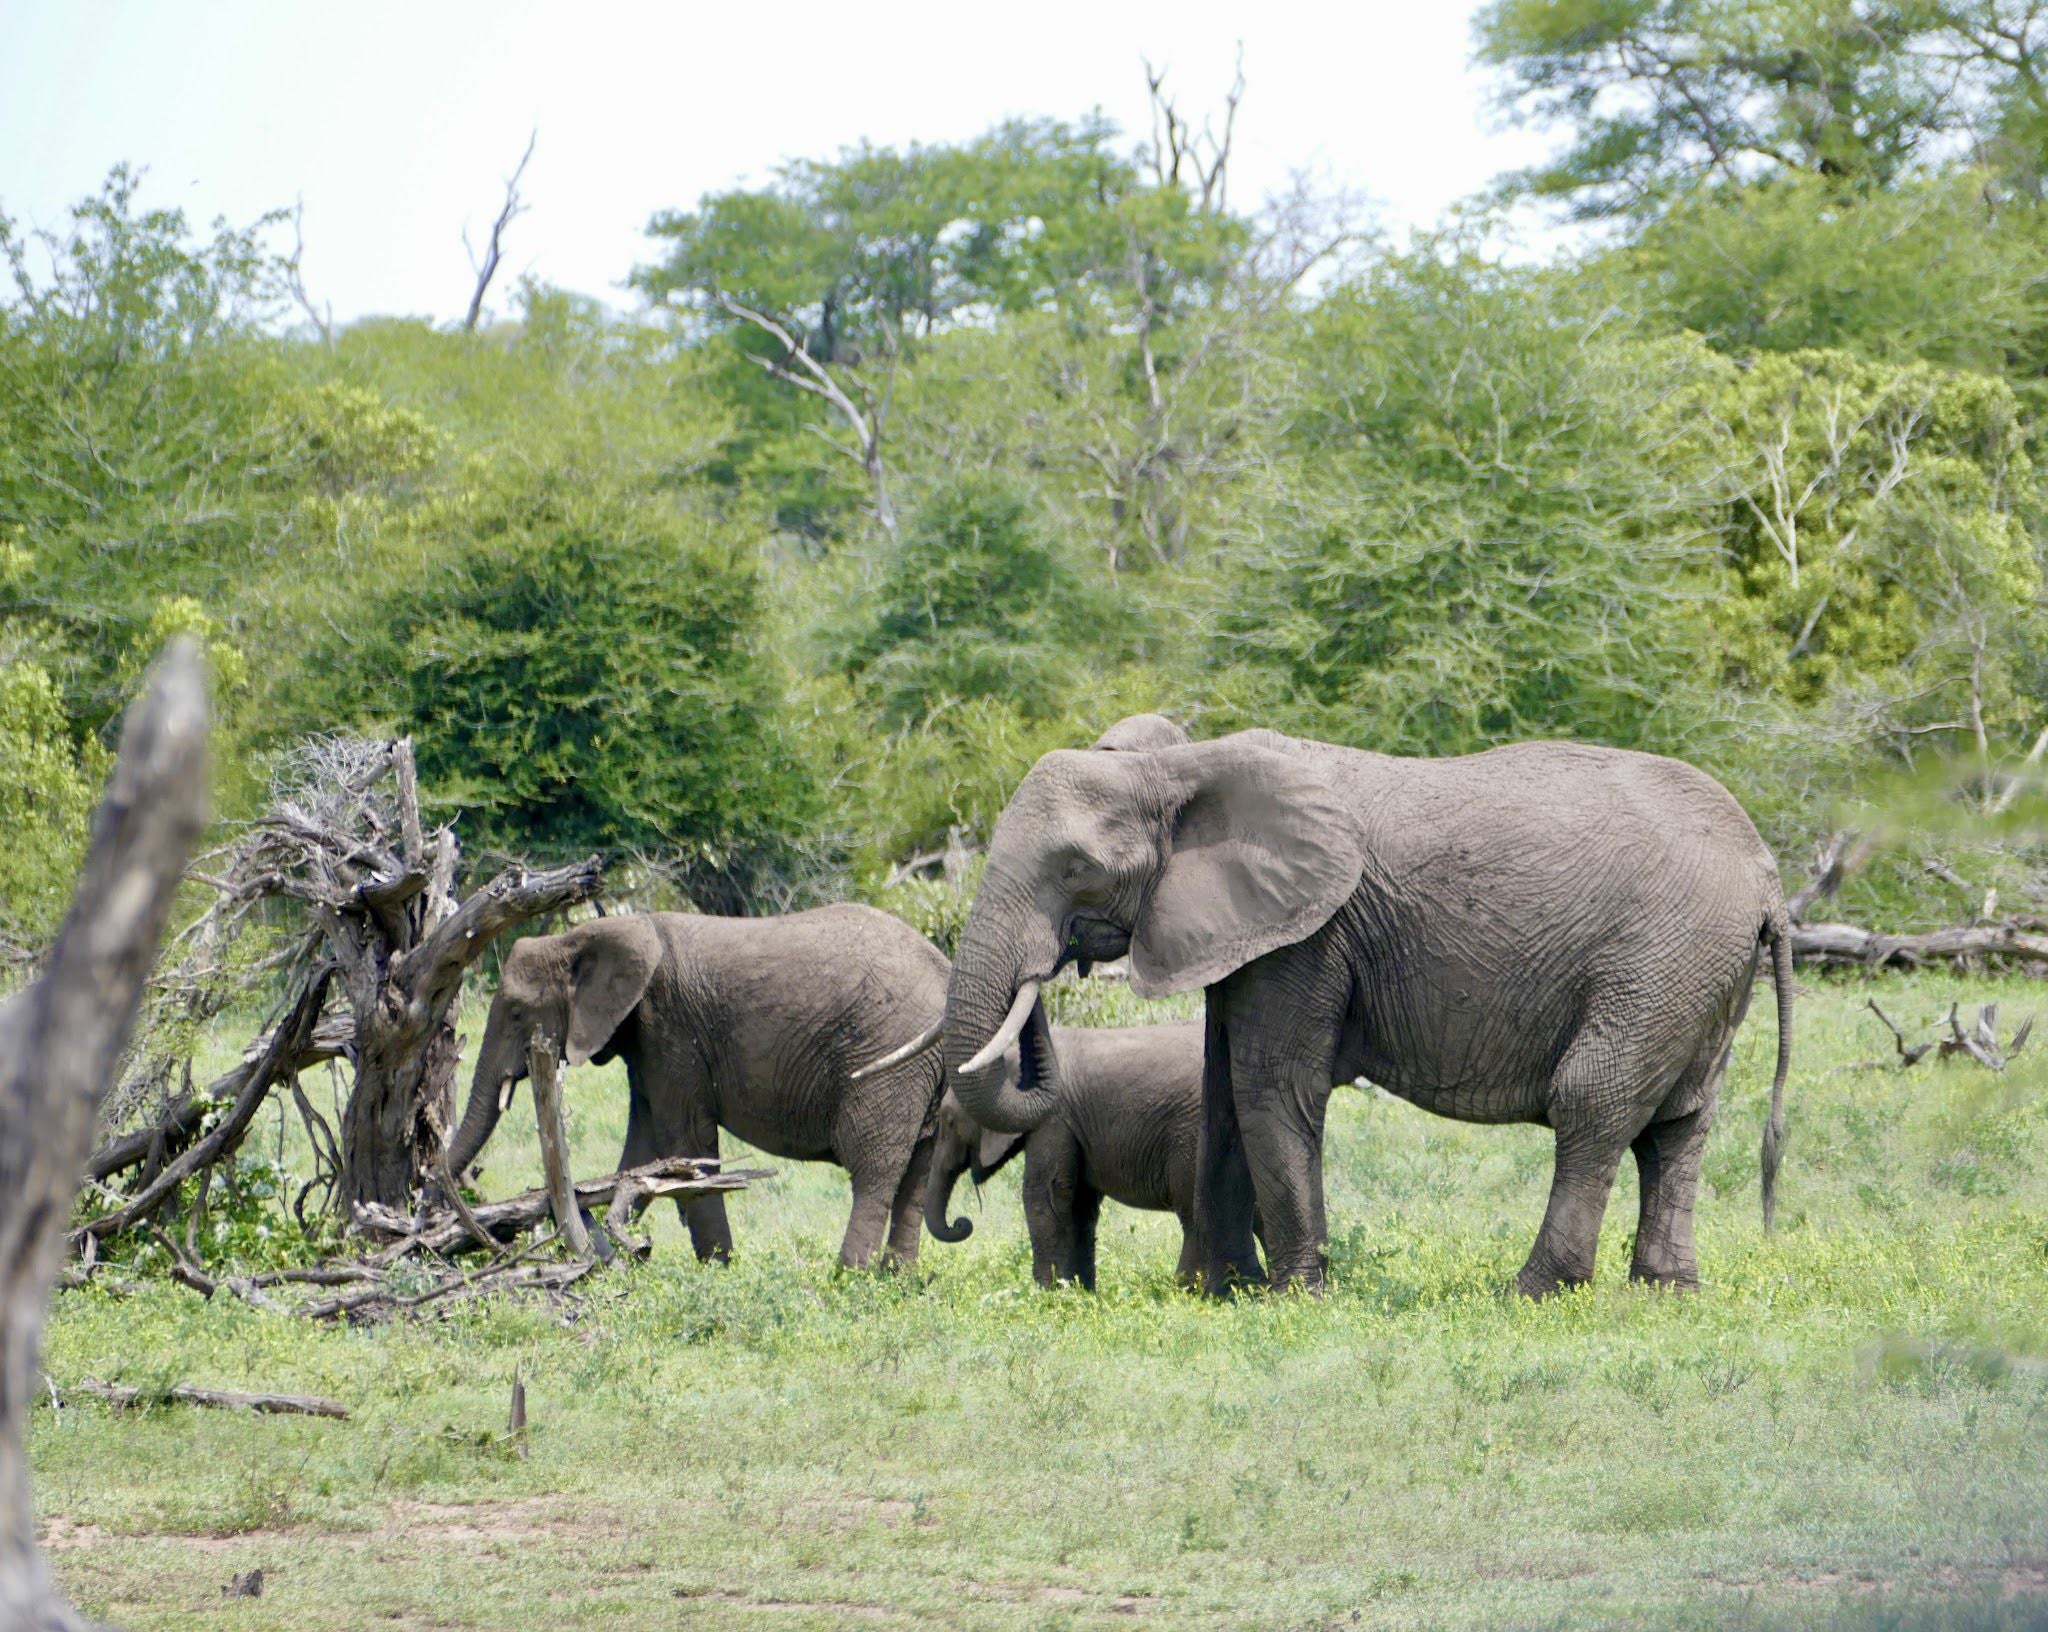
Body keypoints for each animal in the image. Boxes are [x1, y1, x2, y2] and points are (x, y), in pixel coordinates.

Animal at [452, 905, 946, 1269]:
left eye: (517, 1012)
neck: (592, 934)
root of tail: (943, 972)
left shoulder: (670, 1028)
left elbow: (685, 1141)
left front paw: (717, 1270)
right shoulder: (646, 1043)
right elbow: (642, 1154)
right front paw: (605, 1256)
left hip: (886, 1059)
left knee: (874, 1171)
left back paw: (847, 1278)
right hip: (921, 1068)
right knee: (918, 1169)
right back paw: (898, 1280)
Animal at [925, 1019, 1212, 1285]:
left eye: (949, 1121)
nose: (961, 1223)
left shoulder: (1053, 1118)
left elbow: (1044, 1194)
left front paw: (1048, 1293)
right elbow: (1080, 1203)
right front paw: (1079, 1292)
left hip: (1191, 1137)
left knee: (1193, 1216)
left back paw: (1185, 1289)